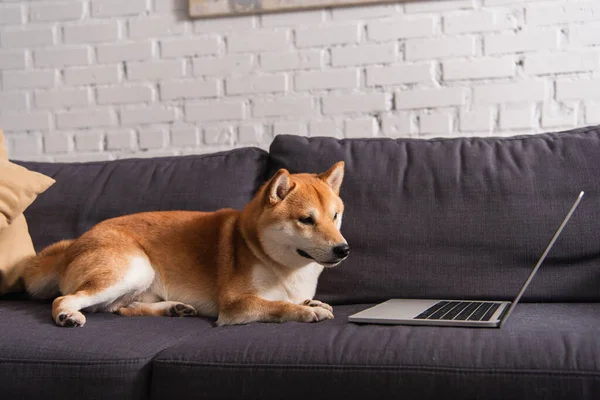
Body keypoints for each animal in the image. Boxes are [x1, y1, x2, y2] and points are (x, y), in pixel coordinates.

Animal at [7, 162, 350, 328]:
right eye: (306, 220)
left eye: (335, 217)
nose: (343, 249)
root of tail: (71, 246)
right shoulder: (235, 303)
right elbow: (278, 306)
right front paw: (305, 312)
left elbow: (294, 299)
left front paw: (311, 304)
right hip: (135, 268)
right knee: (66, 299)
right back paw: (67, 315)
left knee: (119, 308)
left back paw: (174, 308)